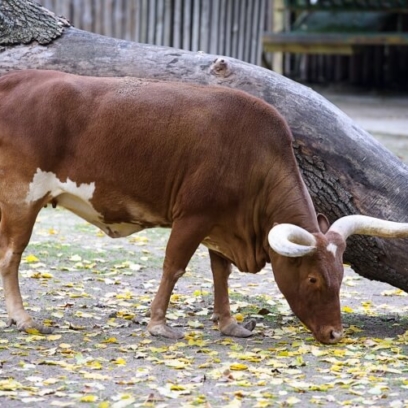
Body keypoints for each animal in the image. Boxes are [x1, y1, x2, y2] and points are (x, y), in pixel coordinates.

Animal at [0, 70, 408, 344]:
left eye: (340, 276)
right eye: (312, 279)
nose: (335, 333)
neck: (255, 158)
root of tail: (16, 80)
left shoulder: (222, 226)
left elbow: (220, 275)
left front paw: (228, 324)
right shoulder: (193, 217)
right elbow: (174, 267)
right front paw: (159, 324)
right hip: (23, 200)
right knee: (11, 257)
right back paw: (23, 318)